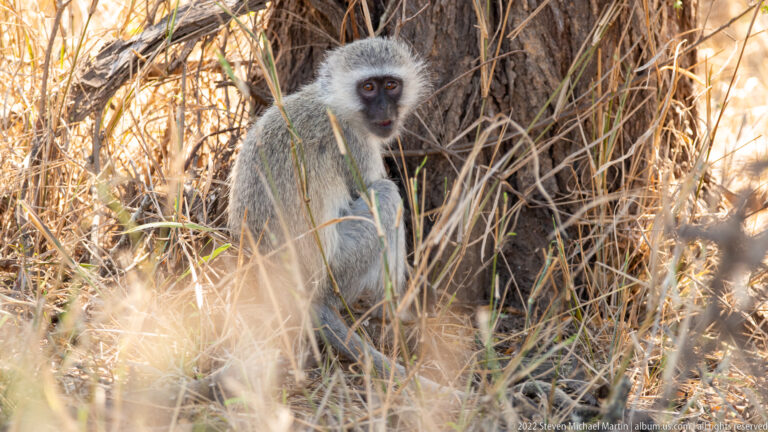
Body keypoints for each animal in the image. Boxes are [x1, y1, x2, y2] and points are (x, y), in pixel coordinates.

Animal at [227, 37, 431, 385]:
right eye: (368, 87)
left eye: (391, 85)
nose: (384, 110)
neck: (335, 104)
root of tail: (305, 294)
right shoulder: (353, 143)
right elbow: (368, 188)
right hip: (339, 271)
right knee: (386, 196)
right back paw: (389, 313)